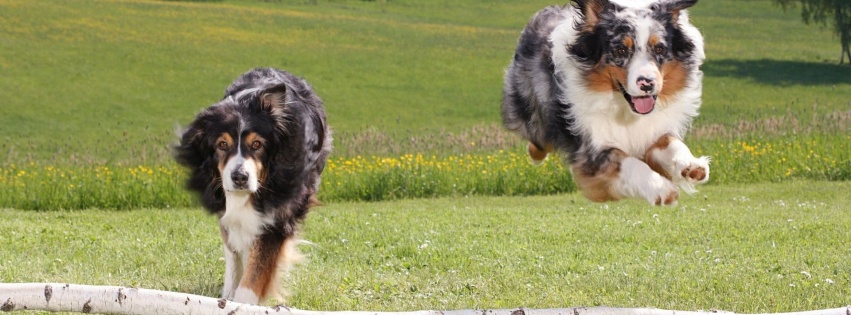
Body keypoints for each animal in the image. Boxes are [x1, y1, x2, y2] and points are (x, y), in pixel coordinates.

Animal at [175, 68, 332, 304]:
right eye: (222, 144)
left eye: (257, 144)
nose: (240, 177)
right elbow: (233, 249)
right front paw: (228, 296)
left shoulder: (279, 214)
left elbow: (258, 266)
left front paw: (244, 303)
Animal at [502, 0, 708, 206]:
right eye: (620, 50)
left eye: (659, 49)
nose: (647, 84)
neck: (625, 109)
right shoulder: (592, 149)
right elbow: (628, 162)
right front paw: (661, 188)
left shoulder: (652, 131)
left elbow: (671, 142)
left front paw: (691, 165)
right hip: (531, 112)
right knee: (540, 140)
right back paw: (535, 156)